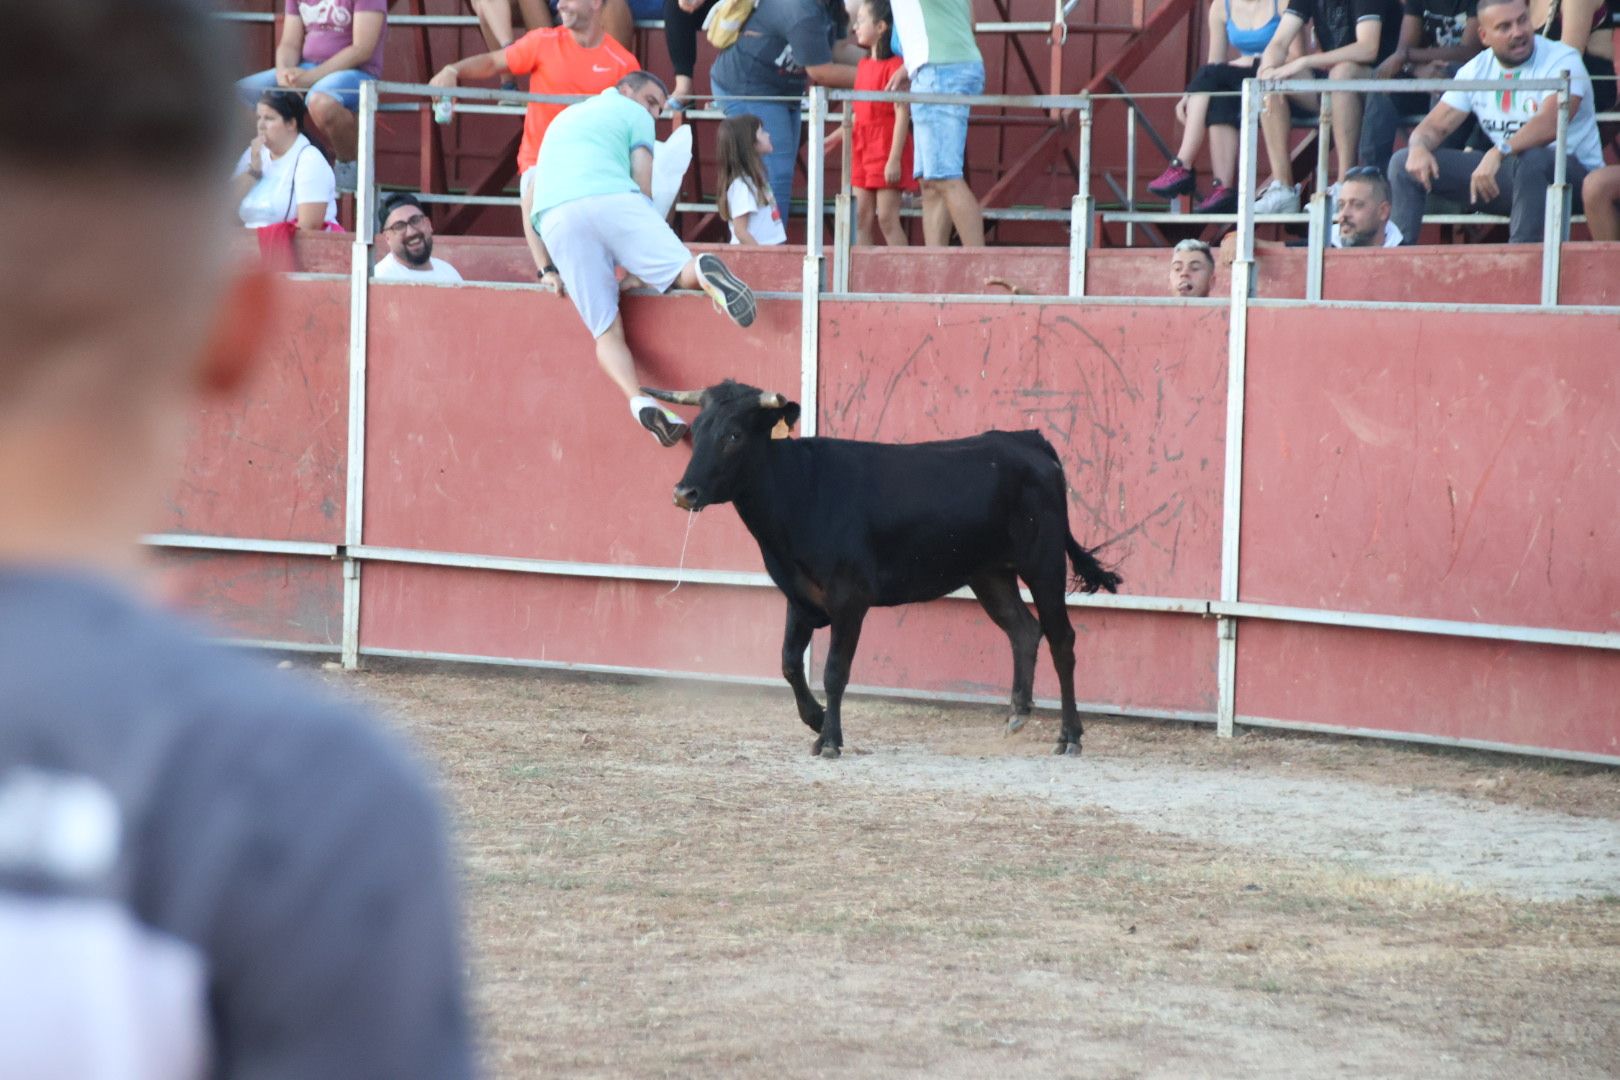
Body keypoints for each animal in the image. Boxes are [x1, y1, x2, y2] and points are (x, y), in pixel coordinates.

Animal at [638, 380, 1121, 761]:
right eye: (698, 430)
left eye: (734, 435)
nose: (684, 492)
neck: (800, 489)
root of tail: (1027, 440)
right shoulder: (799, 596)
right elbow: (790, 664)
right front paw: (815, 720)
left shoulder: (849, 599)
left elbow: (834, 671)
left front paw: (830, 740)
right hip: (989, 573)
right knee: (1023, 630)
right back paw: (1016, 714)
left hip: (1044, 564)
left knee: (1061, 639)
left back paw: (1069, 736)